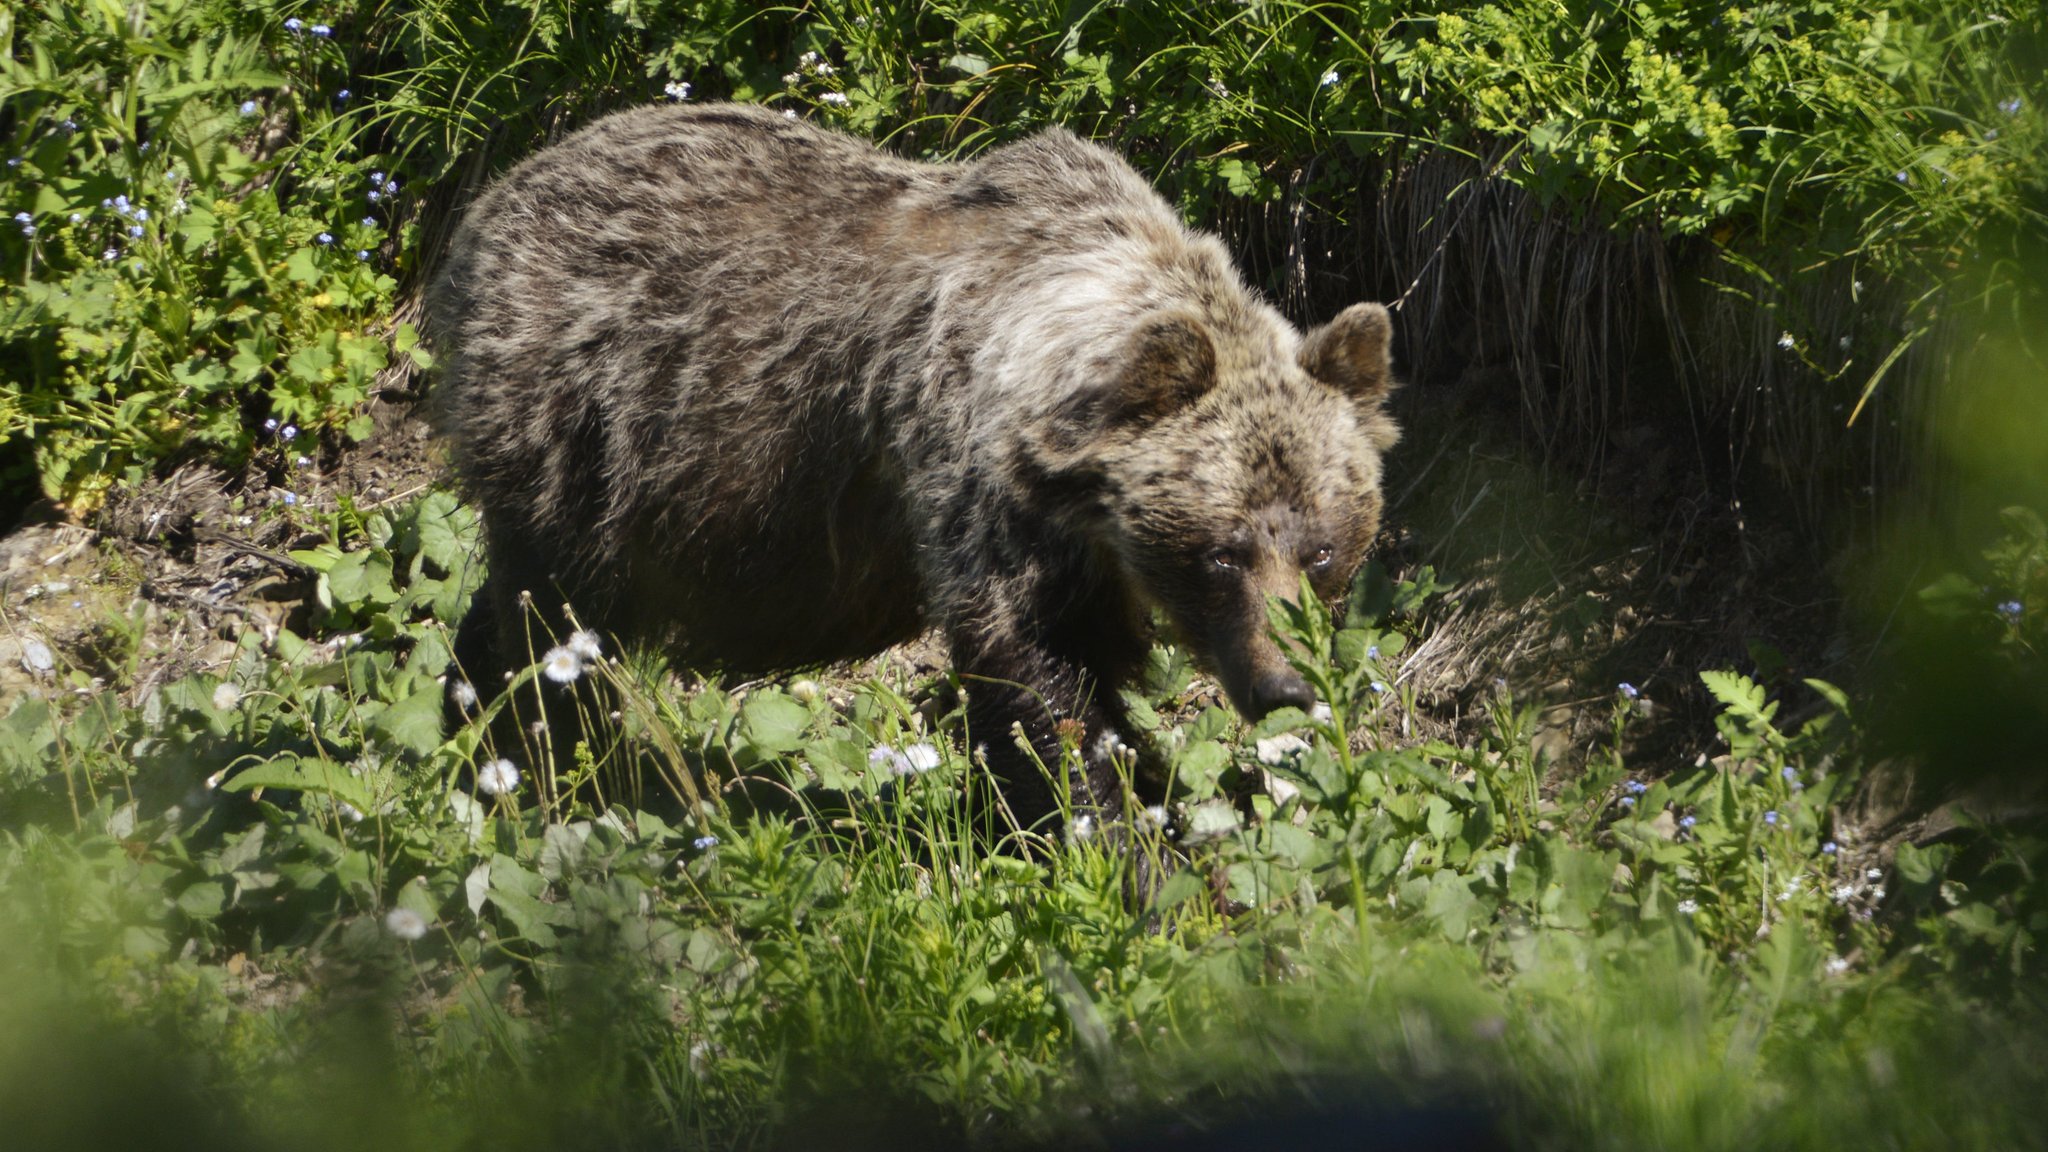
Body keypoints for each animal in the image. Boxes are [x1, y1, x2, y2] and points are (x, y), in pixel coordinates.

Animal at [425, 103, 1400, 828]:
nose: (1285, 685)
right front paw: (1125, 843)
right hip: (585, 431)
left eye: (1322, 548)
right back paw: (528, 760)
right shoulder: (976, 484)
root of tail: (492, 200)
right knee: (548, 619)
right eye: (1222, 552)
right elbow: (1041, 684)